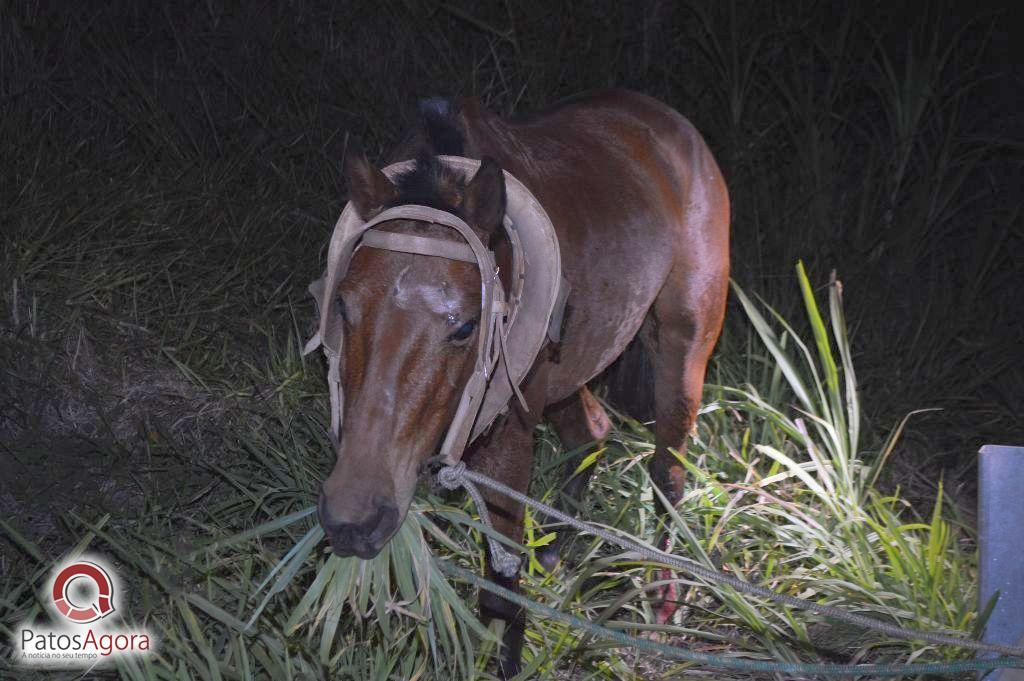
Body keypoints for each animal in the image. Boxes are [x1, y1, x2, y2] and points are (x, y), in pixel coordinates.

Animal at [311, 89, 729, 675]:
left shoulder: (509, 437)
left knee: (668, 472)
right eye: (343, 307)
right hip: (570, 367)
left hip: (684, 344)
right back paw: (555, 545)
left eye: (467, 326)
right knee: (593, 432)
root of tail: (672, 125)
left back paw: (662, 597)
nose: (353, 521)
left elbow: (502, 577)